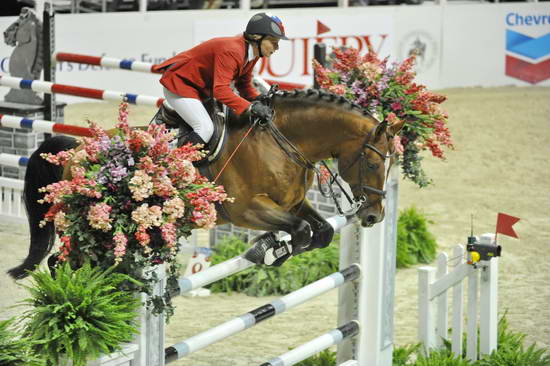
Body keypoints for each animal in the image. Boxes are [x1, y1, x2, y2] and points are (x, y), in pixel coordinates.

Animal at [7, 89, 406, 280]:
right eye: (373, 162)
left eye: (391, 164)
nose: (374, 217)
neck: (281, 141)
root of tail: (76, 149)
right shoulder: (248, 209)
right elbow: (301, 231)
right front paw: (266, 249)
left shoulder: (292, 203)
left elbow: (318, 232)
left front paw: (272, 248)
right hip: (90, 228)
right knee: (60, 262)